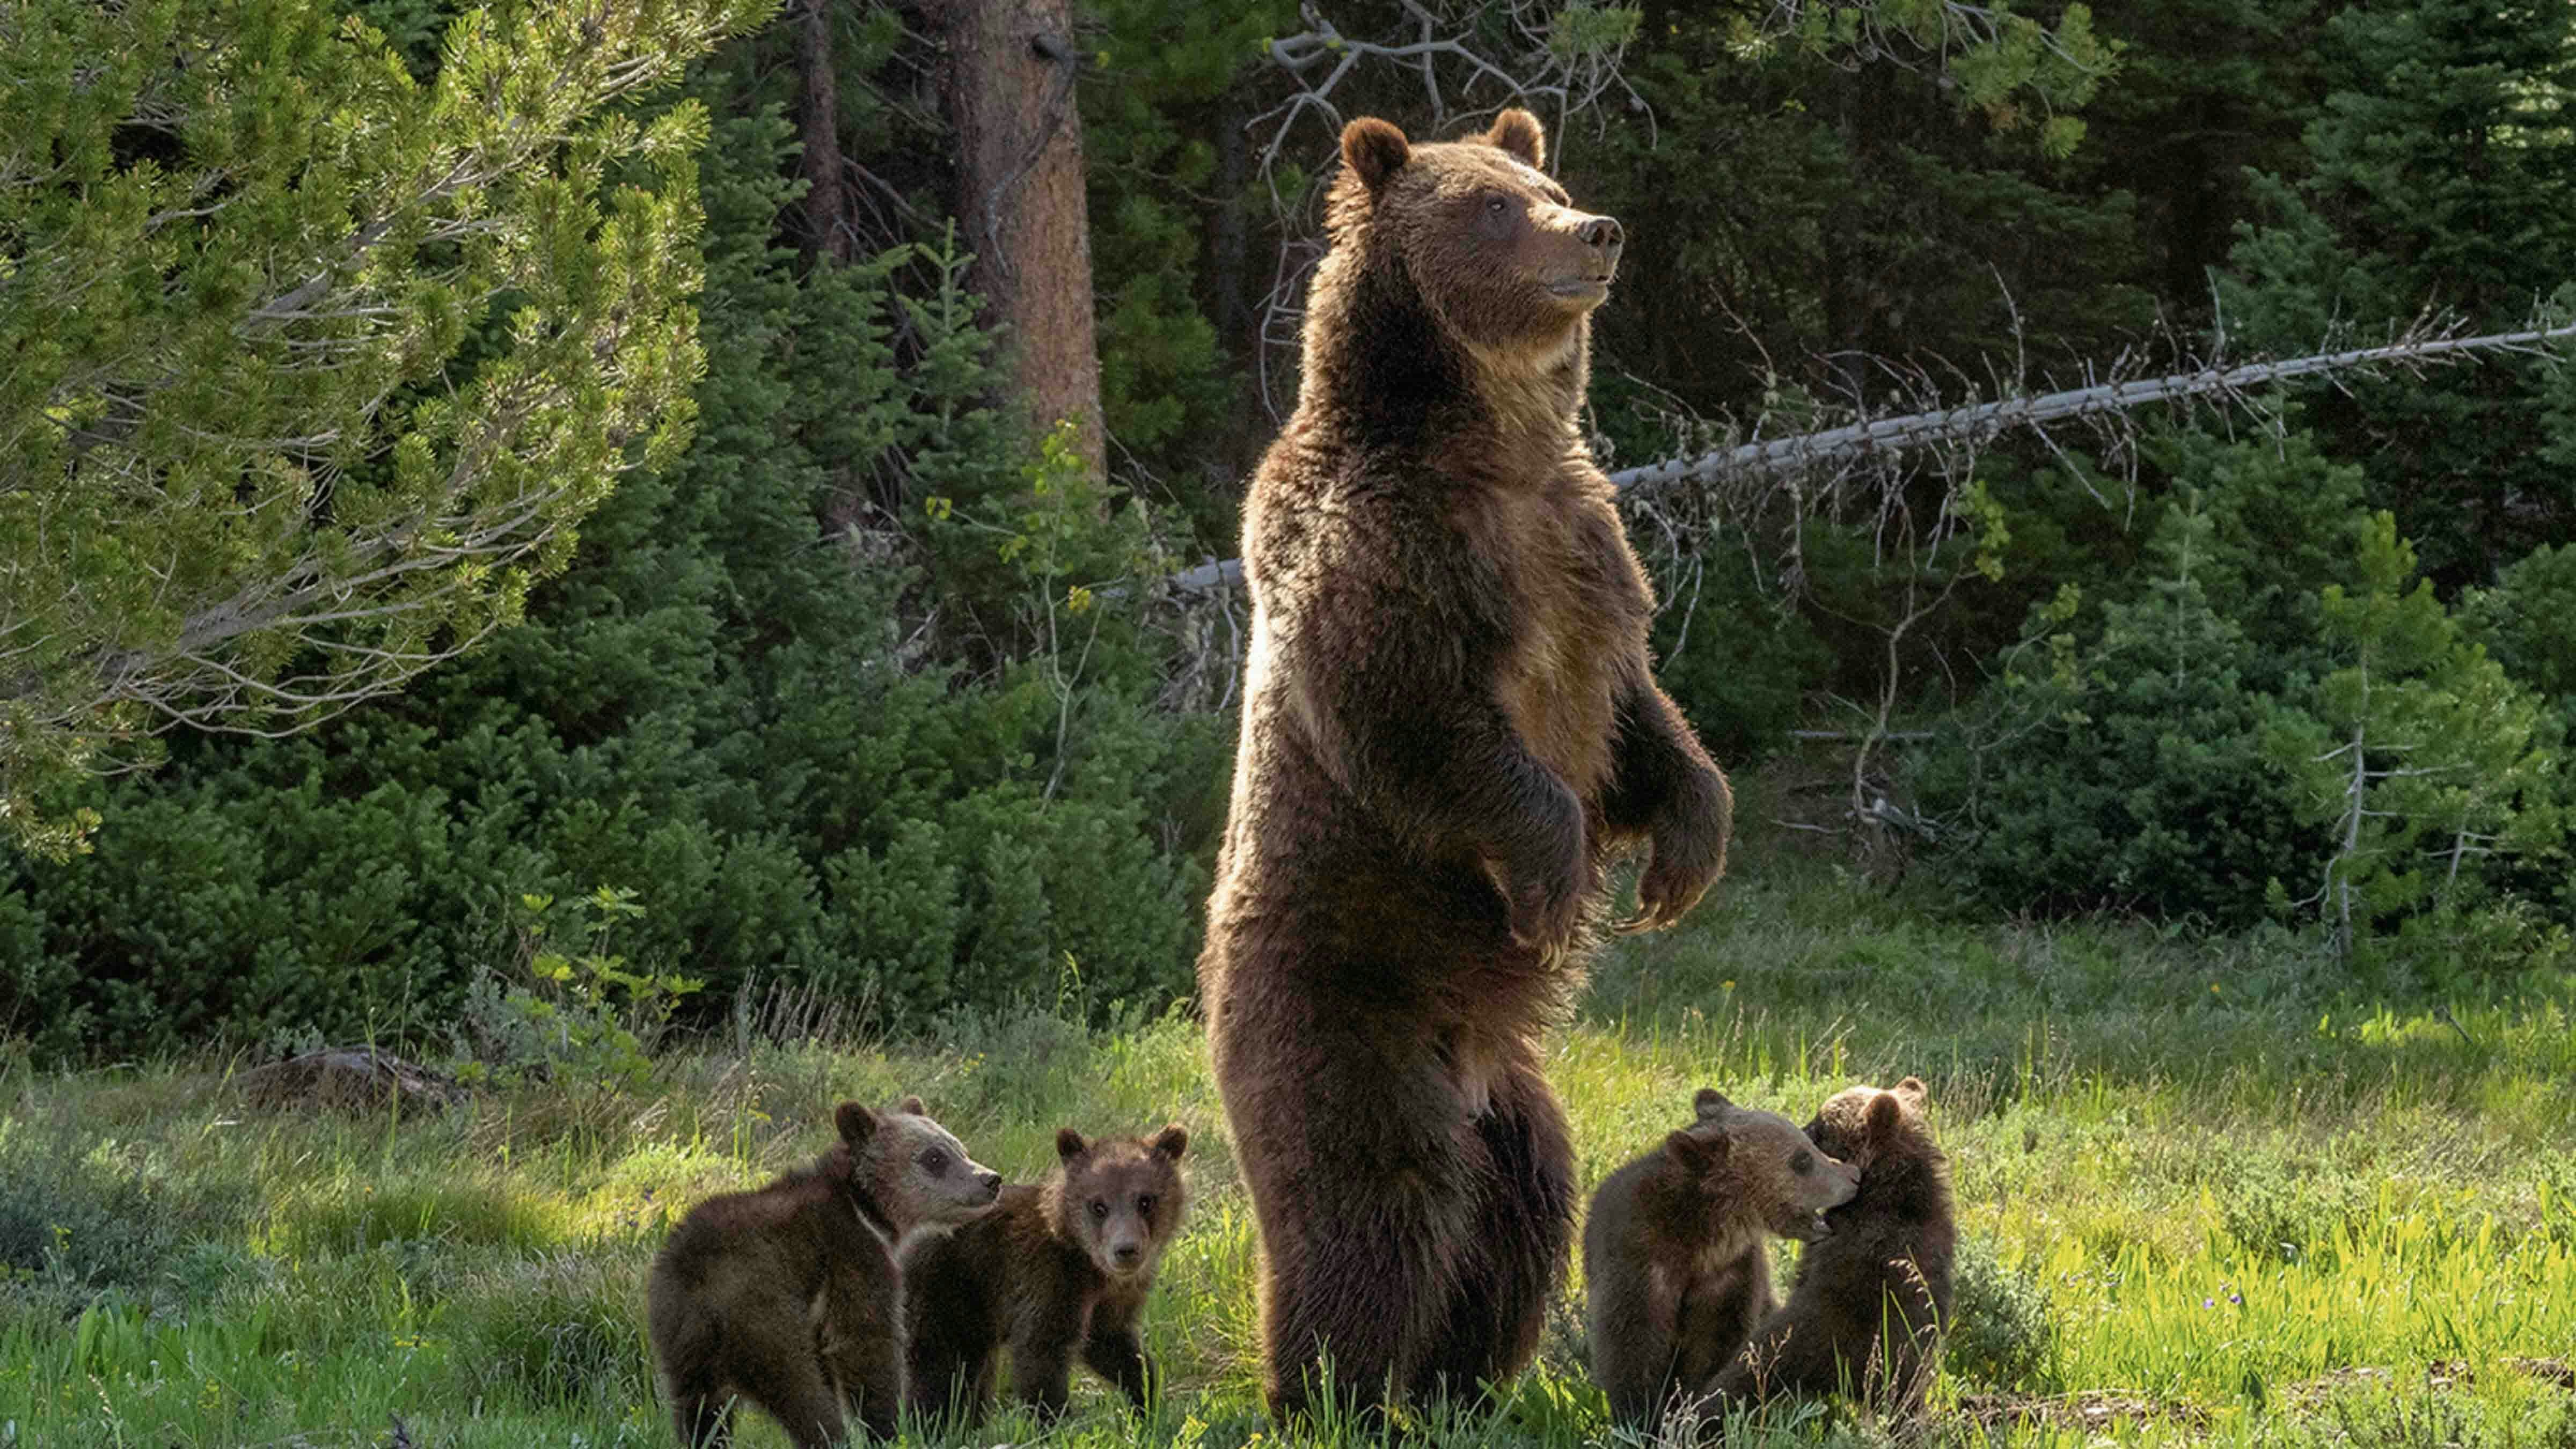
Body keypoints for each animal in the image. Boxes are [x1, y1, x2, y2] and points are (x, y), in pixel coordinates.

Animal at [646, 1097, 1001, 1449]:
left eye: (959, 1147)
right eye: (934, 1157)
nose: (991, 1179)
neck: (868, 1208)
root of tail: (699, 1286)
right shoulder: (850, 1255)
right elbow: (865, 1343)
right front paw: (887, 1428)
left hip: (680, 1340)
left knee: (700, 1410)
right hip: (762, 1313)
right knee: (803, 1394)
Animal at [901, 1123, 1190, 1423]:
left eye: (1146, 1201)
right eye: (1098, 1205)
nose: (1126, 1250)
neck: (1089, 1265)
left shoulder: (1111, 1301)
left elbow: (1114, 1345)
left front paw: (1148, 1401)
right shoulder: (1043, 1278)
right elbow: (1041, 1355)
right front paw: (1055, 1419)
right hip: (940, 1291)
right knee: (939, 1366)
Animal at [1197, 105, 1734, 1422]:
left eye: (1547, 182)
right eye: (1492, 207)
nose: (1596, 231)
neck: (1493, 443)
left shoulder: (1586, 551)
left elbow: (1640, 719)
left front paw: (1683, 856)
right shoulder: (1387, 553)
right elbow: (1423, 725)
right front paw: (1556, 875)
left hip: (1515, 1103)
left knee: (1520, 1208)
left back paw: (1464, 1381)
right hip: (1344, 1014)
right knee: (1375, 1206)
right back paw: (1330, 1392)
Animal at [1583, 1088, 1860, 1435]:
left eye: (1809, 1143)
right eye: (1802, 1160)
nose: (1854, 1176)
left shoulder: (1729, 1277)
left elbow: (1715, 1350)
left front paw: (1691, 1413)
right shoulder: (1638, 1262)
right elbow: (1632, 1347)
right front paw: (1642, 1420)